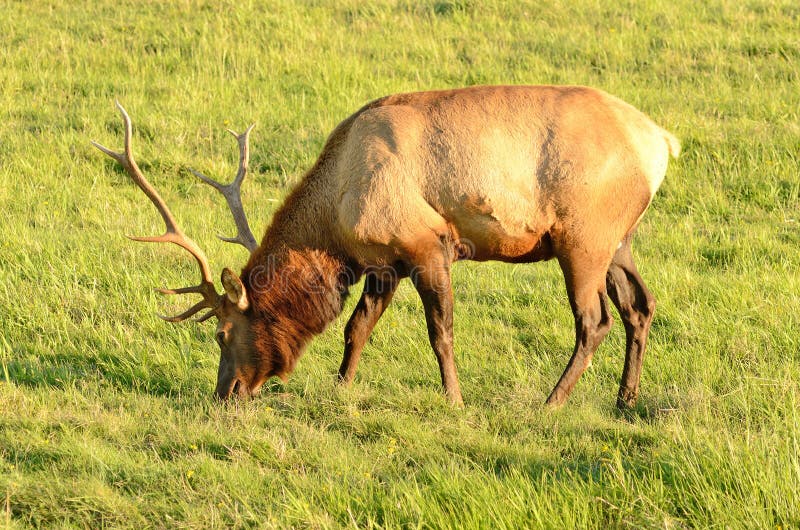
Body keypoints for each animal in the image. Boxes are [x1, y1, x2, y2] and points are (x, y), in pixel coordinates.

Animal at [95, 85, 680, 408]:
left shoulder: (427, 245)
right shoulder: (382, 264)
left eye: (221, 333)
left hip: (582, 238)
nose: (227, 393)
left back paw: (550, 402)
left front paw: (454, 399)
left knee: (595, 321)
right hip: (617, 240)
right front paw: (340, 388)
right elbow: (356, 328)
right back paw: (625, 398)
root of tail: (661, 142)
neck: (337, 213)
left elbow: (440, 332)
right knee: (641, 306)